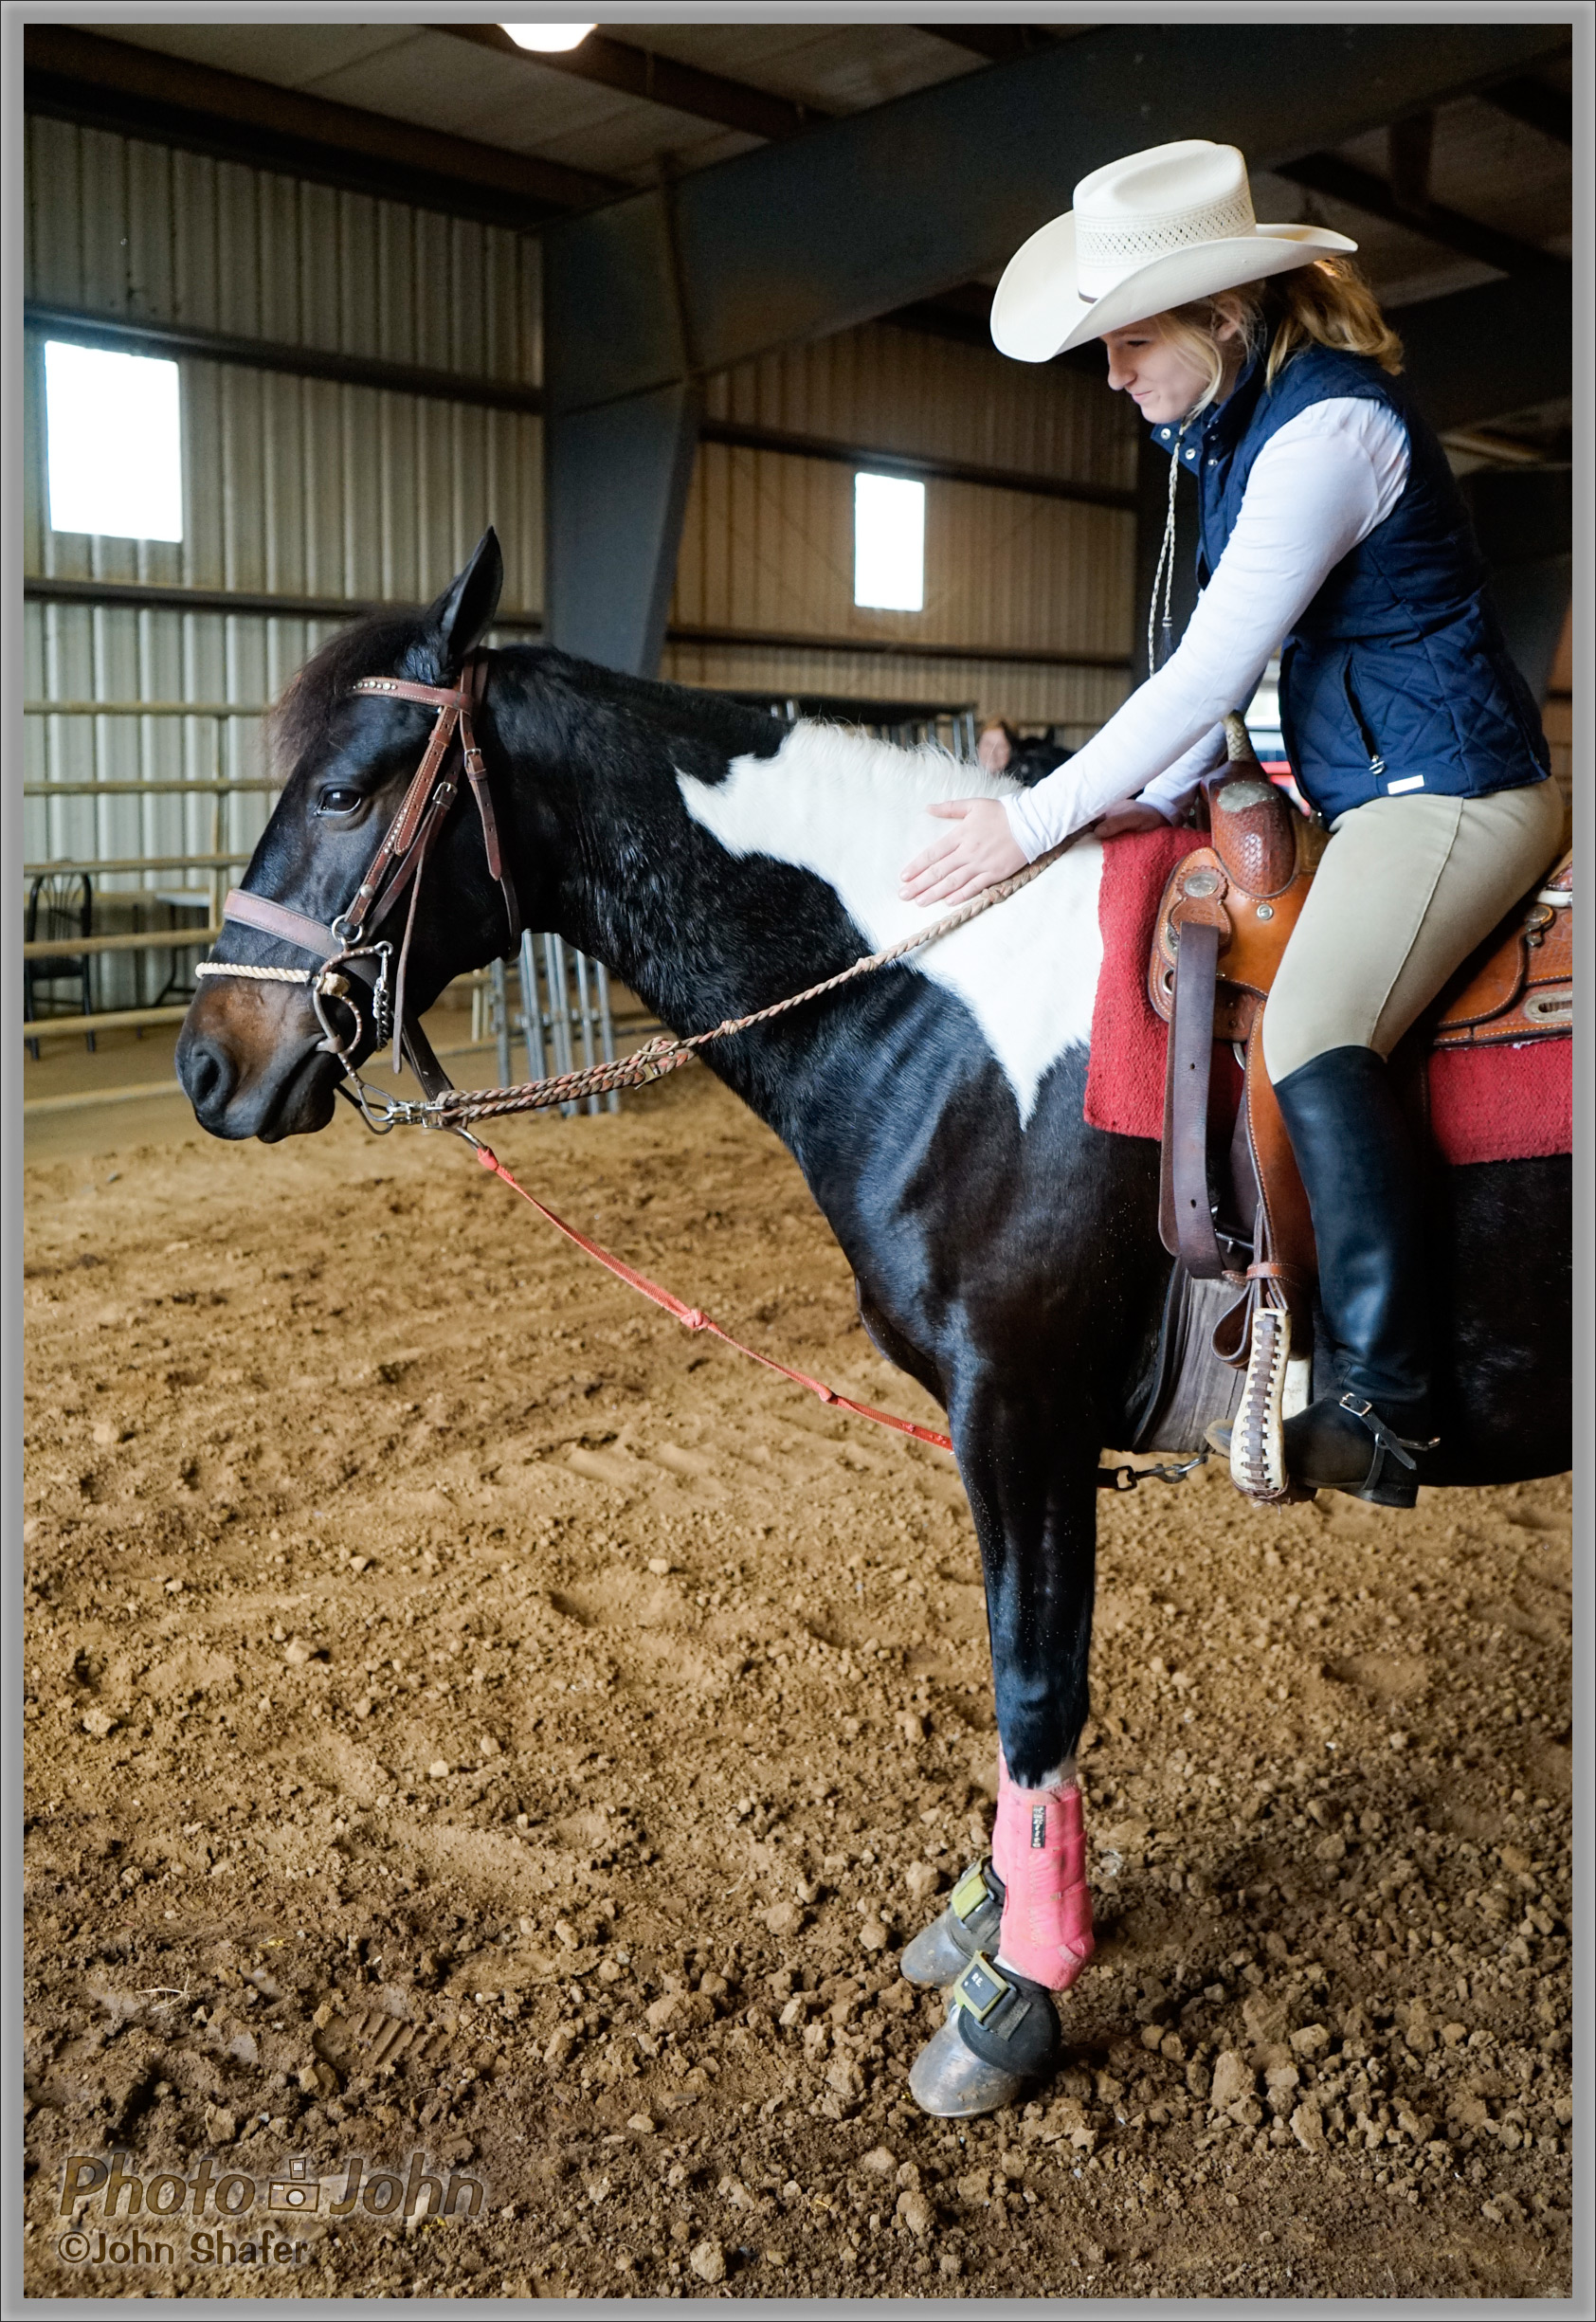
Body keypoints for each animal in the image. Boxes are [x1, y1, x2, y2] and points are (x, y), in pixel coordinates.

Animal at [173, 534, 1570, 2117]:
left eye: (347, 793)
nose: (210, 1063)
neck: (950, 996)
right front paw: (989, 1913)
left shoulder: (1019, 1407)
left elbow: (1036, 1680)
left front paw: (1018, 1988)